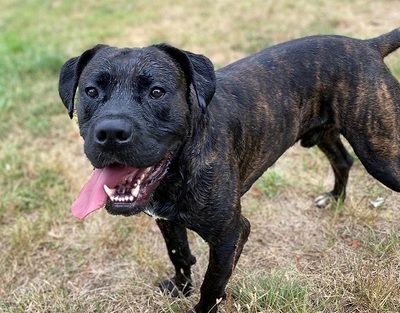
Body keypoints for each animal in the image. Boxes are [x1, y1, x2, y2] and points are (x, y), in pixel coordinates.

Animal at [58, 28, 400, 310]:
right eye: (91, 91)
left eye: (157, 91)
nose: (110, 133)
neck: (178, 168)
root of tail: (367, 45)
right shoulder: (166, 220)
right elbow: (178, 254)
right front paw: (181, 288)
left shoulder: (230, 234)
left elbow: (213, 284)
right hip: (324, 132)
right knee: (342, 160)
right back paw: (334, 199)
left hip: (380, 153)